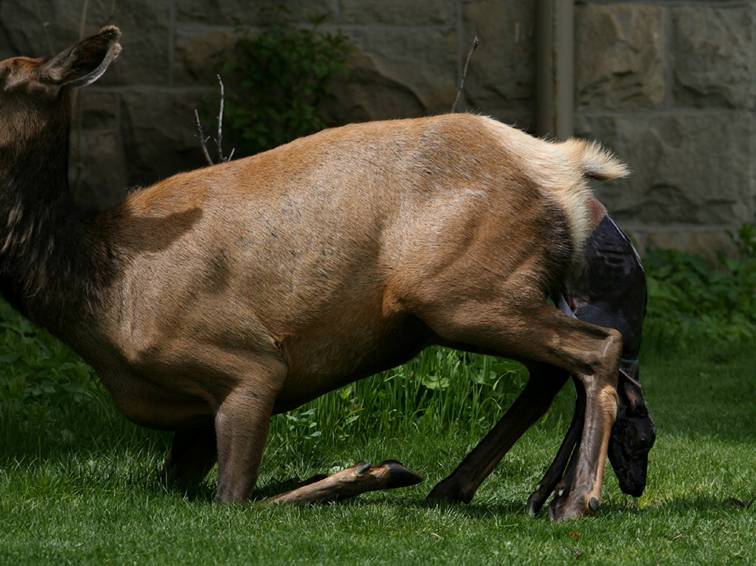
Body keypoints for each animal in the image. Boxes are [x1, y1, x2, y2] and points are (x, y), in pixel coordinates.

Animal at [0, 27, 656, 524]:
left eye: (3, 76)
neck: (102, 296)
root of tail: (565, 169)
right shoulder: (190, 417)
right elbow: (181, 487)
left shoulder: (246, 361)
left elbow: (236, 502)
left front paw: (375, 469)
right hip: (483, 296)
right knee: (552, 369)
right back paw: (477, 489)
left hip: (461, 292)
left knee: (597, 349)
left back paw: (575, 501)